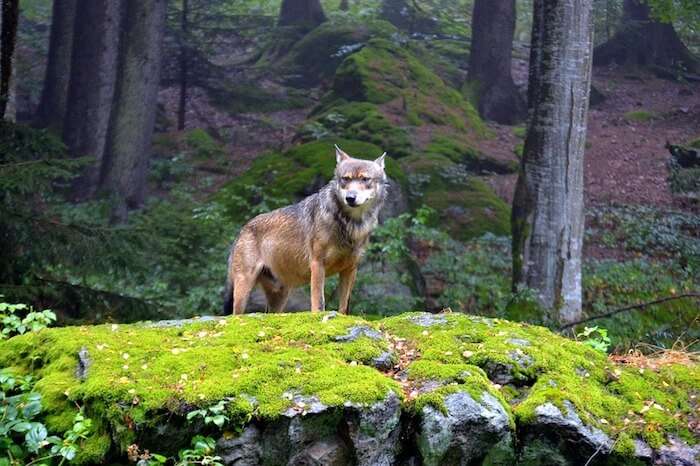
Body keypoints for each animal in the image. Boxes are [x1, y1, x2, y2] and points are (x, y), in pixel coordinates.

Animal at [224, 144, 388, 314]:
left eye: (365, 179)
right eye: (346, 179)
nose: (350, 198)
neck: (350, 223)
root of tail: (243, 229)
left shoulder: (350, 269)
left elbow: (344, 306)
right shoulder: (317, 264)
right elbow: (319, 302)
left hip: (279, 296)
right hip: (244, 288)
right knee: (235, 315)